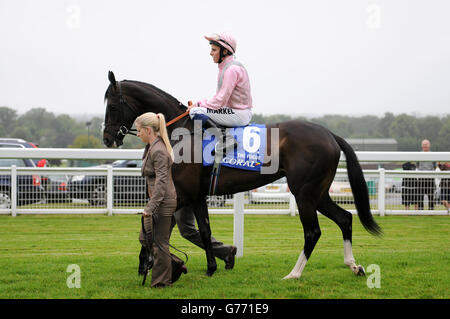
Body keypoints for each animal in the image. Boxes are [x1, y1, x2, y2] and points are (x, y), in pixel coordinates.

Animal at [103, 70, 382, 280]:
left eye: (113, 105)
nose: (107, 139)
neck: (180, 133)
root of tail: (329, 134)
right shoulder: (187, 195)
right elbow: (181, 229)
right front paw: (154, 264)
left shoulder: (187, 194)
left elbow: (186, 229)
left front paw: (205, 267)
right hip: (318, 192)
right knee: (344, 218)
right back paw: (353, 265)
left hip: (304, 193)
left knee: (313, 231)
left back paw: (293, 273)